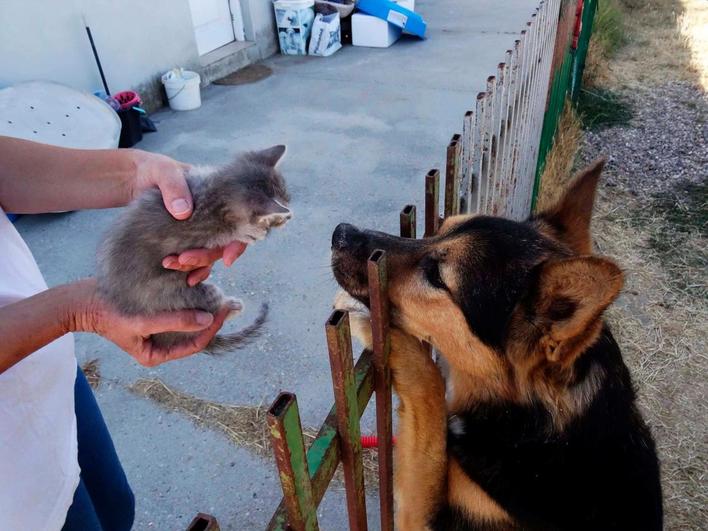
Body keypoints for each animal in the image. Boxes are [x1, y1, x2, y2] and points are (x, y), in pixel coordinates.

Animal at [97, 145, 290, 354]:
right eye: (284, 208)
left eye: (287, 196)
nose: (290, 215)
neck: (215, 190)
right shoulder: (206, 226)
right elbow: (229, 231)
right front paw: (250, 231)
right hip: (182, 296)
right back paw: (231, 306)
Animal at [332, 159, 664, 531]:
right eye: (440, 227)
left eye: (436, 276)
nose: (340, 233)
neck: (532, 425)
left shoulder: (426, 519)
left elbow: (430, 391)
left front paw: (366, 318)